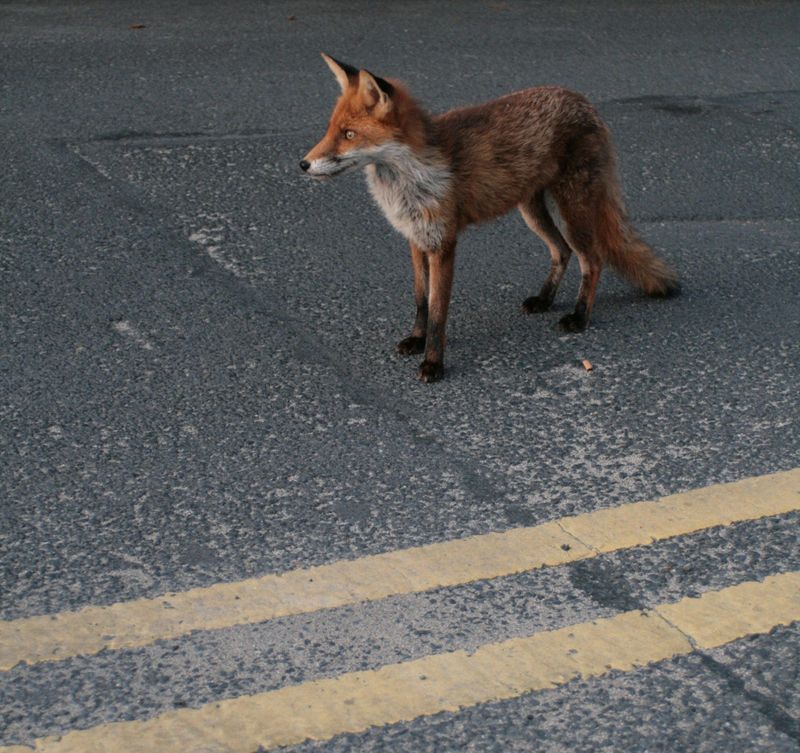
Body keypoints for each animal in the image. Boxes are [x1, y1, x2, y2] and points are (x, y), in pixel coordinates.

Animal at [301, 54, 678, 382]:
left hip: (572, 209)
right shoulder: (416, 239)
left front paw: (433, 363)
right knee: (562, 251)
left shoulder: (444, 242)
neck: (410, 178)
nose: (303, 164)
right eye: (331, 129)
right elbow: (421, 301)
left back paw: (579, 316)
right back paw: (544, 300)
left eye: (349, 134)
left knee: (593, 260)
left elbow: (438, 312)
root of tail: (583, 100)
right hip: (532, 212)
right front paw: (417, 341)